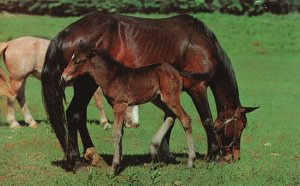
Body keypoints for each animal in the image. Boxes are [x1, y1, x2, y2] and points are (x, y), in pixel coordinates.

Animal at [0, 36, 138, 129]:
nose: (134, 124)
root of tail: (9, 43)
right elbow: (99, 103)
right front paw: (105, 123)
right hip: (18, 79)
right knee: (11, 97)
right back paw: (14, 123)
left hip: (22, 79)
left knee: (20, 97)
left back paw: (31, 122)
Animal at [61, 43, 197, 173]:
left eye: (77, 61)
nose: (64, 76)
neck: (111, 77)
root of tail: (176, 72)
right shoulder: (117, 105)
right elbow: (121, 132)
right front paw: (120, 163)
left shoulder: (119, 105)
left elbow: (116, 133)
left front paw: (113, 167)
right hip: (158, 99)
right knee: (170, 116)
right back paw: (153, 148)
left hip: (171, 99)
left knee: (186, 119)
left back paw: (190, 161)